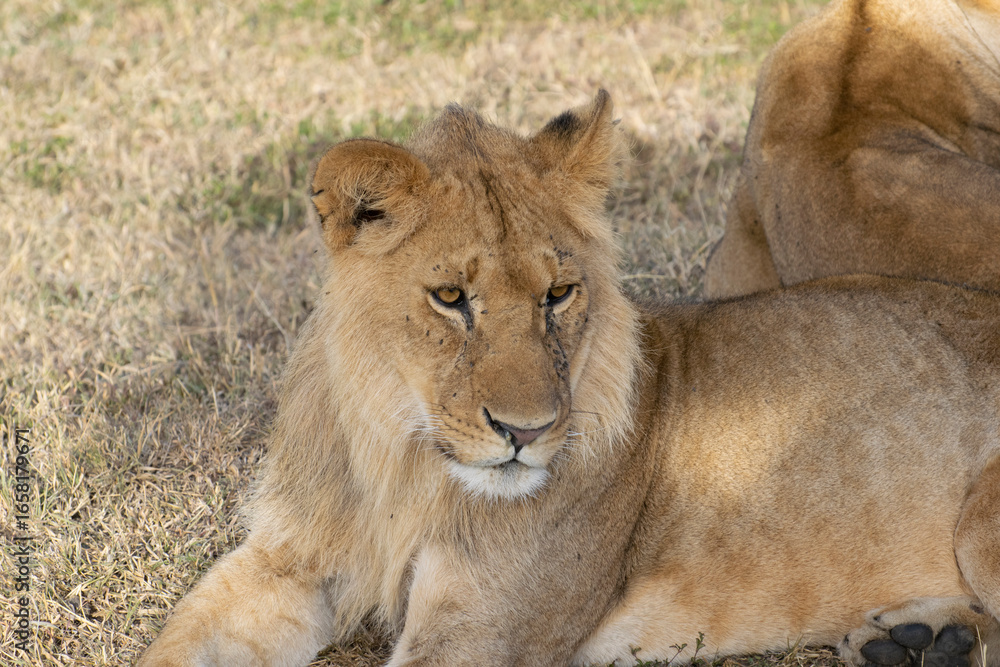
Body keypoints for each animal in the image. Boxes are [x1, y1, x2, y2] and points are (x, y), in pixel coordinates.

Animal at [139, 91, 1000, 667]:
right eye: (449, 297)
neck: (403, 464)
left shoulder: (479, 630)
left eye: (558, 293)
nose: (525, 433)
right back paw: (924, 639)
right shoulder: (286, 560)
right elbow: (174, 644)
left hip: (979, 522)